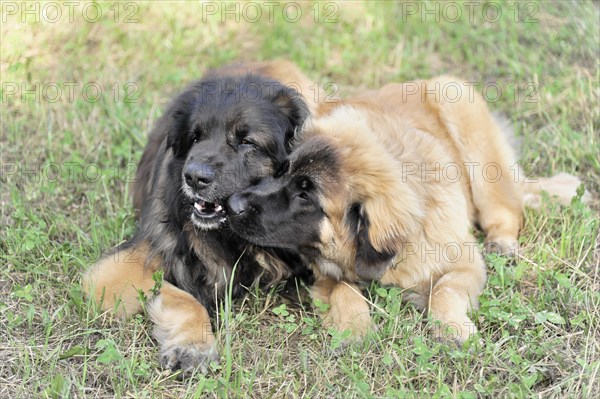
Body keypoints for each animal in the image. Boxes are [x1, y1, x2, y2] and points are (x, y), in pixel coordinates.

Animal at [82, 59, 326, 376]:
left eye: (247, 142)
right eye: (195, 137)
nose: (194, 177)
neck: (229, 237)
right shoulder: (116, 272)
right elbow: (184, 297)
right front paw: (194, 346)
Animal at [226, 77, 584, 344]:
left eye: (306, 195)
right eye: (281, 170)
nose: (232, 205)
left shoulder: (464, 262)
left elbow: (444, 290)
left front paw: (452, 328)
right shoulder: (324, 271)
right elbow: (343, 289)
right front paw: (355, 328)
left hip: (468, 132)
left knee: (505, 207)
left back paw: (503, 242)